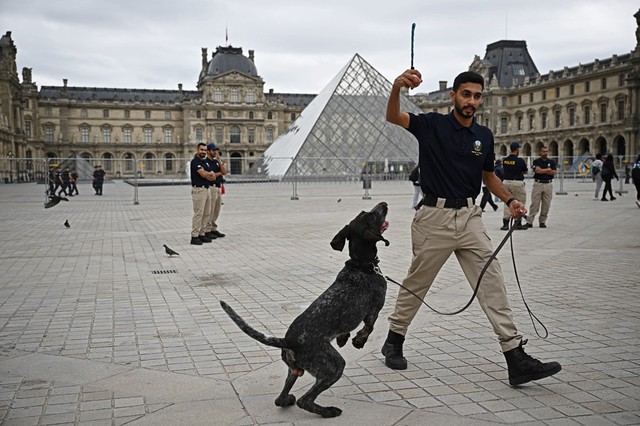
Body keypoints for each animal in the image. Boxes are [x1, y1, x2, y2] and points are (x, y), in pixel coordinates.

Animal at [220, 202, 390, 416]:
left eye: (366, 213)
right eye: (373, 215)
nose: (384, 204)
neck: (360, 264)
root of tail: (288, 340)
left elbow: (348, 330)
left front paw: (344, 339)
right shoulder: (375, 306)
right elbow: (369, 327)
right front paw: (359, 341)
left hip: (293, 370)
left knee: (280, 398)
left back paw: (288, 400)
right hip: (333, 366)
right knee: (305, 400)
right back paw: (327, 411)